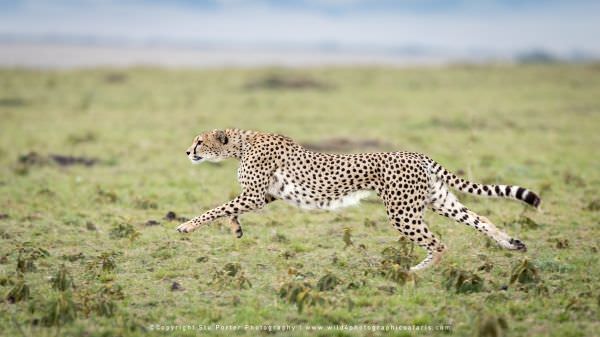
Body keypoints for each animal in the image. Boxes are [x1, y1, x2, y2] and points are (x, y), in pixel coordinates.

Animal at [177, 129, 540, 270]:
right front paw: (236, 229)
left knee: (439, 243)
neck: (240, 143)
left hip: (402, 212)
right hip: (437, 201)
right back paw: (511, 244)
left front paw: (186, 227)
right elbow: (228, 210)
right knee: (481, 219)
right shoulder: (265, 195)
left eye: (200, 141)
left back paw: (417, 272)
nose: (187, 152)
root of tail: (416, 153)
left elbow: (215, 208)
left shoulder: (254, 195)